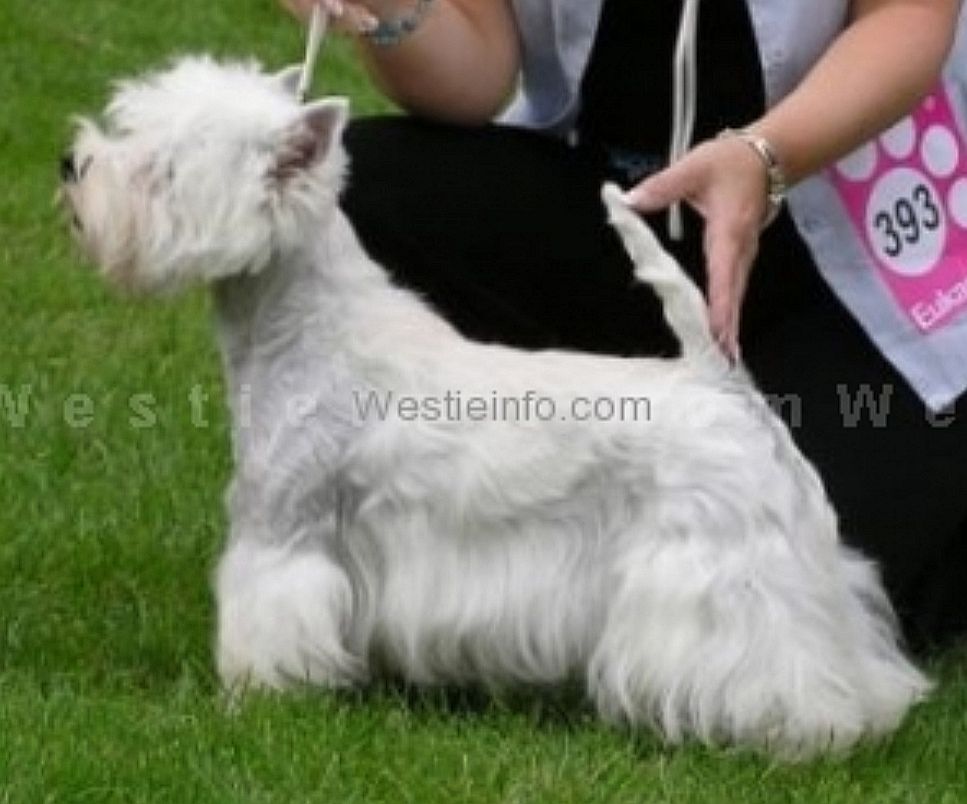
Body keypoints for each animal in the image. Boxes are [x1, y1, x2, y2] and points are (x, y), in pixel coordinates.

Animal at [62, 58, 932, 760]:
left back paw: (800, 733)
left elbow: (267, 615)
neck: (305, 326)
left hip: (721, 565)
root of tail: (717, 378)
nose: (72, 163)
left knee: (778, 659)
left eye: (163, 168)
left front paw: (257, 701)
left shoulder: (284, 527)